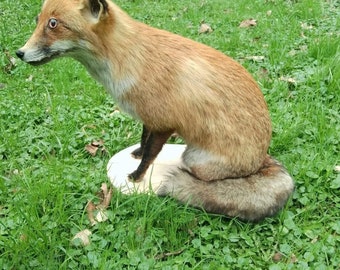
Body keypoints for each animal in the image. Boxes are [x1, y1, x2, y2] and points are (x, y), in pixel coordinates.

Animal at [15, 0, 294, 221]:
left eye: (53, 24)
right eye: (38, 20)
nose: (19, 53)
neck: (129, 60)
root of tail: (261, 159)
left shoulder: (164, 123)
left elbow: (151, 154)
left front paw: (136, 177)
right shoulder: (148, 117)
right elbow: (143, 140)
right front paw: (136, 154)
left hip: (193, 158)